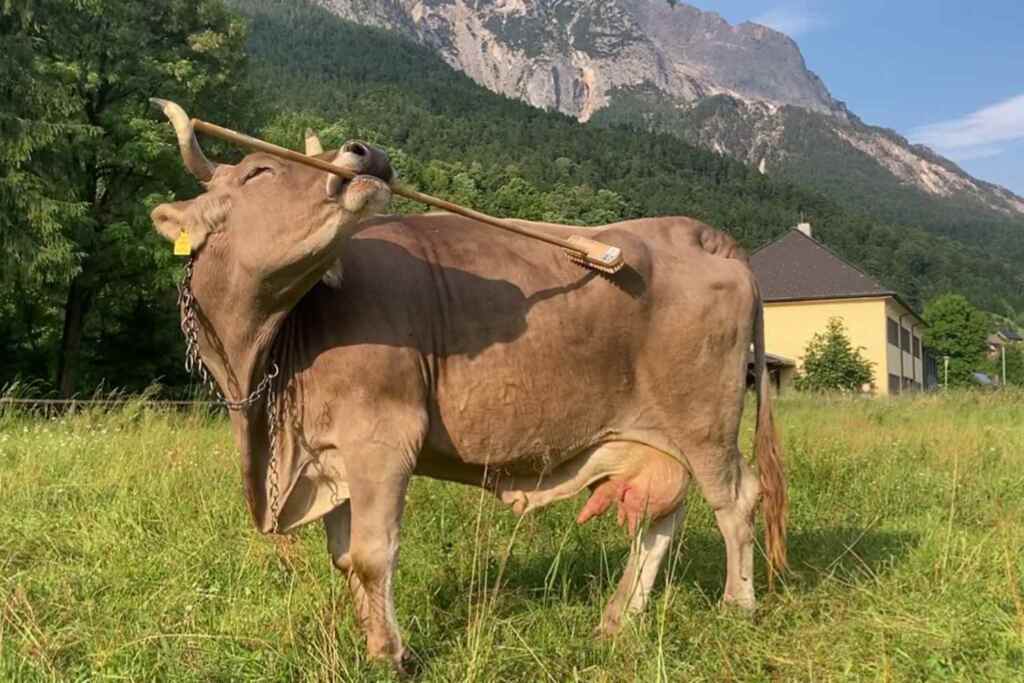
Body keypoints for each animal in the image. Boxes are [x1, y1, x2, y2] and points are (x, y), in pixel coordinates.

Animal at [150, 100, 786, 673]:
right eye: (258, 172)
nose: (366, 152)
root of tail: (694, 232)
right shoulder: (328, 455)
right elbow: (344, 556)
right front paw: (372, 640)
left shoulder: (382, 439)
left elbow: (372, 554)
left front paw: (391, 655)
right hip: (658, 433)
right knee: (664, 513)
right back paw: (618, 618)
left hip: (704, 419)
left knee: (735, 500)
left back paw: (737, 605)